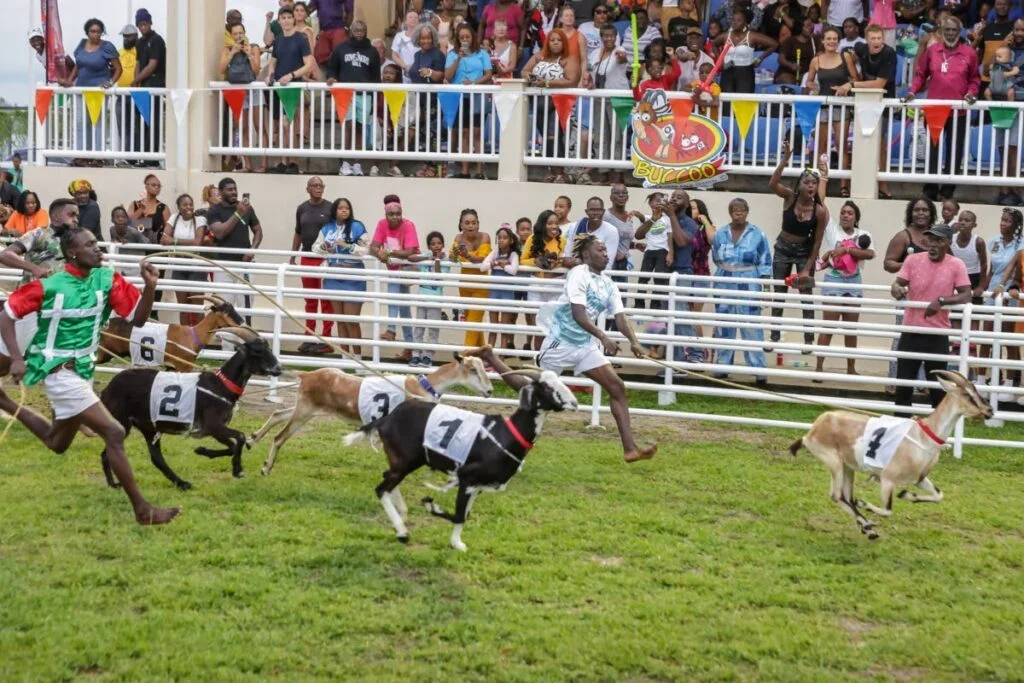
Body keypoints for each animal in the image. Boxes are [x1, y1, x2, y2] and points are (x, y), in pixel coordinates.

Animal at [96, 295, 243, 371]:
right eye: (226, 311)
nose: (241, 322)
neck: (192, 335)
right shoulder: (183, 367)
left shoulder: (172, 368)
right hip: (101, 353)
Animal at [98, 327, 282, 490]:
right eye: (257, 351)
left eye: (269, 348)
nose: (278, 369)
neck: (221, 386)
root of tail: (107, 389)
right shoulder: (213, 426)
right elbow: (239, 439)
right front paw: (237, 469)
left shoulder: (213, 429)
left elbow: (233, 446)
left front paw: (202, 451)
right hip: (122, 421)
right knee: (108, 453)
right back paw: (113, 484)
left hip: (148, 426)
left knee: (155, 457)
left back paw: (181, 483)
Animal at [250, 352, 494, 477]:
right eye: (473, 370)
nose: (490, 391)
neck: (423, 387)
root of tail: (308, 375)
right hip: (304, 412)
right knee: (279, 437)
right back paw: (265, 468)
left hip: (304, 409)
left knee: (277, 414)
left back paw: (253, 439)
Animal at [343, 369, 578, 552]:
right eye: (547, 388)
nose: (574, 403)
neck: (507, 435)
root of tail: (387, 418)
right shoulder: (467, 478)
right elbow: (458, 514)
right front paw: (431, 507)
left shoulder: (478, 486)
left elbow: (464, 515)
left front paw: (456, 543)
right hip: (405, 461)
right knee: (382, 488)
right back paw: (402, 532)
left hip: (401, 461)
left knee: (388, 480)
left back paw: (402, 513)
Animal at [790, 370, 992, 540]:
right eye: (967, 394)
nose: (989, 410)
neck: (923, 435)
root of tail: (812, 431)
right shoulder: (887, 479)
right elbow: (887, 510)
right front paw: (866, 503)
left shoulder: (920, 478)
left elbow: (938, 496)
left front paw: (906, 495)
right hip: (833, 462)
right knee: (837, 496)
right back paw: (867, 525)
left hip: (848, 466)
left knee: (847, 497)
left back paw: (868, 529)